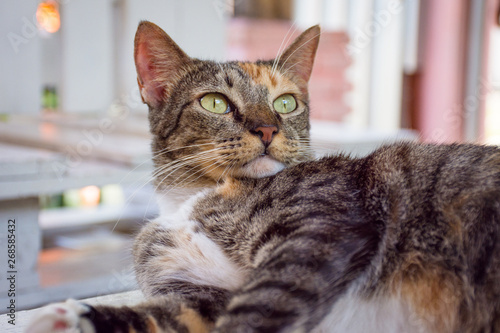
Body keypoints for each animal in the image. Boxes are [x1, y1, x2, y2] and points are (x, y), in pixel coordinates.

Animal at [27, 20, 500, 332]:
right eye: (214, 102)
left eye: (286, 103)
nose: (268, 129)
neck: (193, 199)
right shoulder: (197, 295)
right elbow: (160, 316)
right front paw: (62, 317)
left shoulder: (318, 232)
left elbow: (256, 309)